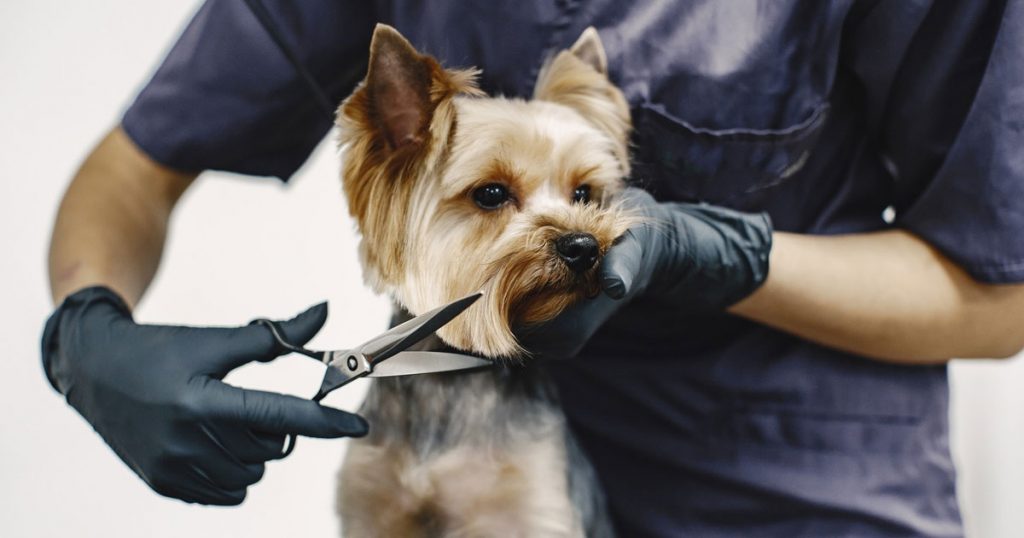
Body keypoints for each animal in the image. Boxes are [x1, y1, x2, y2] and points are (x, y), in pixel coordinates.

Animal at [335, 23, 630, 532]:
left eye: (583, 193)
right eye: (491, 194)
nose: (583, 245)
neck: (445, 375)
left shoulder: (533, 507)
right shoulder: (371, 509)